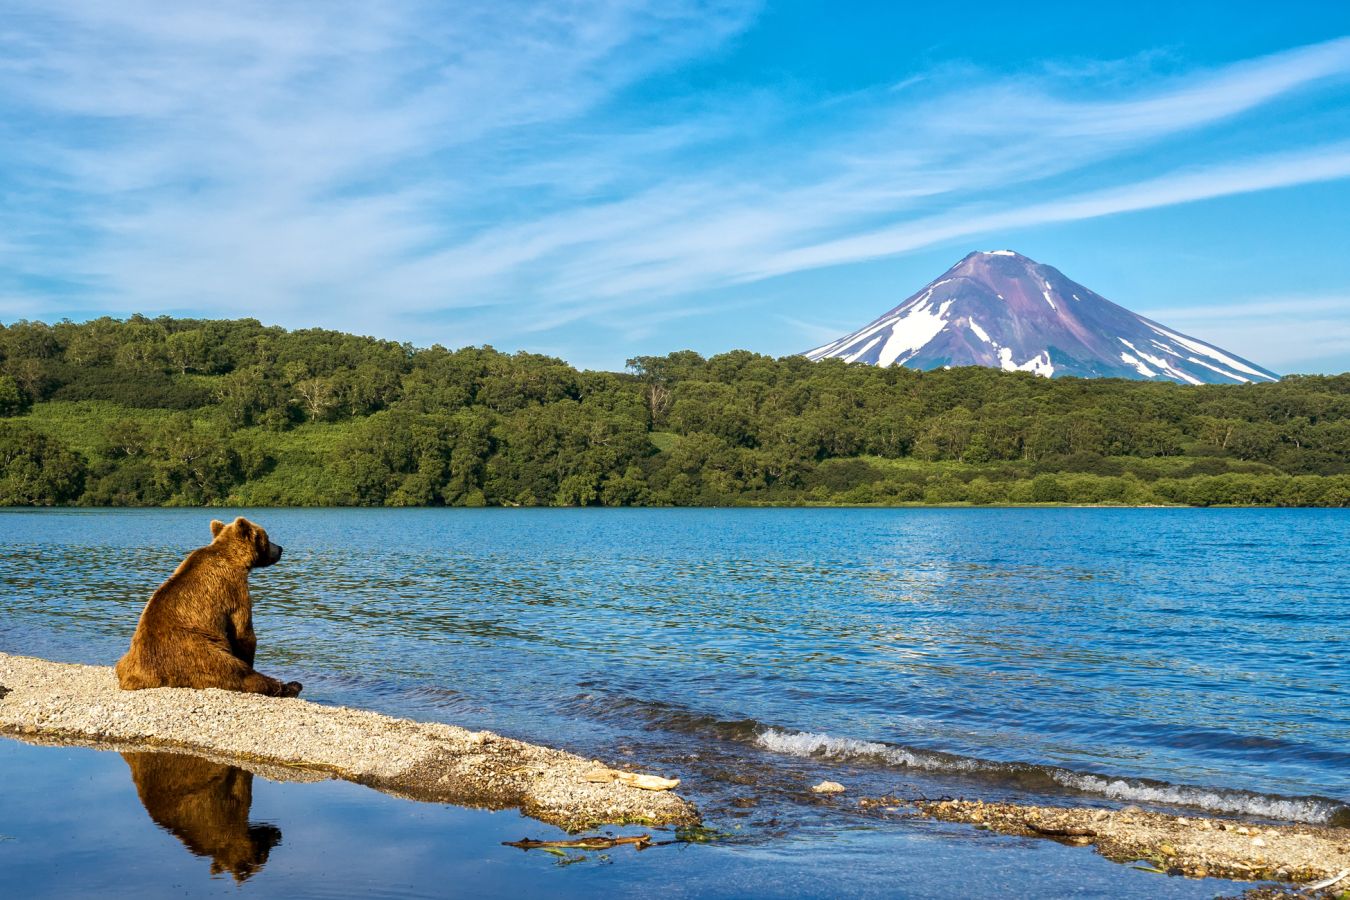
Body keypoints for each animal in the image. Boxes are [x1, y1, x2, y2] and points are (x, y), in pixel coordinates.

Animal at [114, 518, 302, 701]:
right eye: (267, 537)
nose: (280, 549)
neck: (233, 557)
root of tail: (141, 677)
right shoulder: (234, 588)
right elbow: (243, 631)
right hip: (197, 654)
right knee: (238, 674)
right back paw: (291, 686)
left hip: (130, 657)